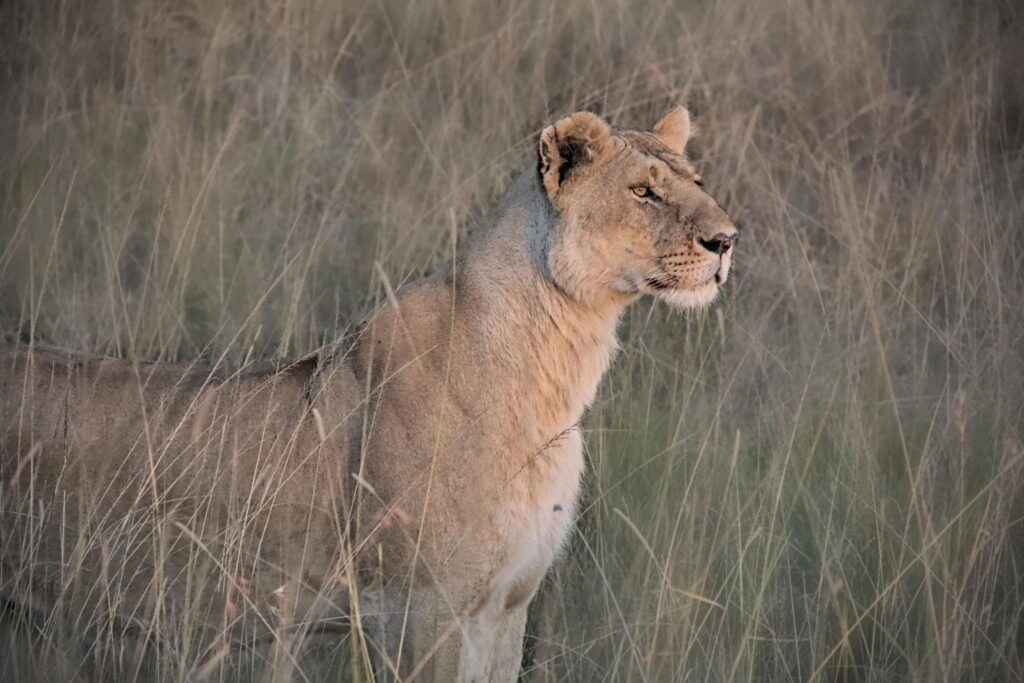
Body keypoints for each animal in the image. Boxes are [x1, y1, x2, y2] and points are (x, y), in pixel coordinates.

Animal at [0, 106, 737, 682]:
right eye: (643, 192)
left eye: (699, 184)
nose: (727, 239)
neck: (559, 368)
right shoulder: (424, 611)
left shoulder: (505, 609)